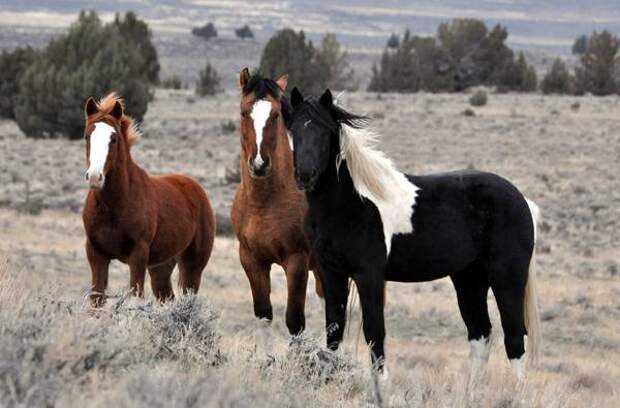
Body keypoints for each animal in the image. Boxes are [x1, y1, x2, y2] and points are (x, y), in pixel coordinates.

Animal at [81, 94, 216, 306]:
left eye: (114, 138)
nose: (95, 177)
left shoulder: (138, 256)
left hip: (193, 266)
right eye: (87, 136)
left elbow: (135, 296)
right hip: (160, 268)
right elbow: (96, 300)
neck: (114, 206)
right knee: (167, 297)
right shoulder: (96, 254)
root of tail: (196, 188)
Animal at [230, 68, 322, 336]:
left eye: (276, 113)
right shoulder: (252, 260)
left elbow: (294, 321)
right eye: (243, 112)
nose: (260, 163)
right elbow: (263, 315)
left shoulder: (296, 261)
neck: (263, 203)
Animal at [288, 87, 540, 380]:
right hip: (469, 278)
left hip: (506, 277)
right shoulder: (331, 273)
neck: (352, 203)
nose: (305, 175)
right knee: (481, 334)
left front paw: (380, 385)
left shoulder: (369, 275)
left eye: (324, 130)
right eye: (294, 129)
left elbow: (374, 333)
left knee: (514, 338)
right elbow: (334, 332)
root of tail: (522, 200)